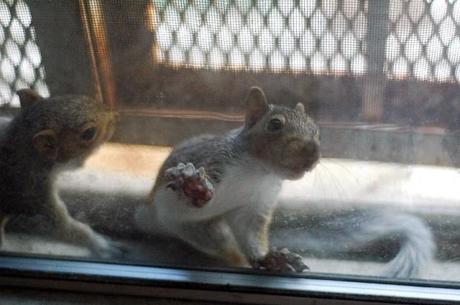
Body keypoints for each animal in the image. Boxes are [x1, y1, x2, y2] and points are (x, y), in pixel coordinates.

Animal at [136, 86, 434, 276]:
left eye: (317, 131)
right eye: (274, 125)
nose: (313, 153)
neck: (258, 172)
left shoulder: (257, 203)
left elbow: (251, 233)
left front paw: (271, 258)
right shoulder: (212, 162)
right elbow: (188, 194)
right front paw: (194, 186)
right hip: (192, 225)